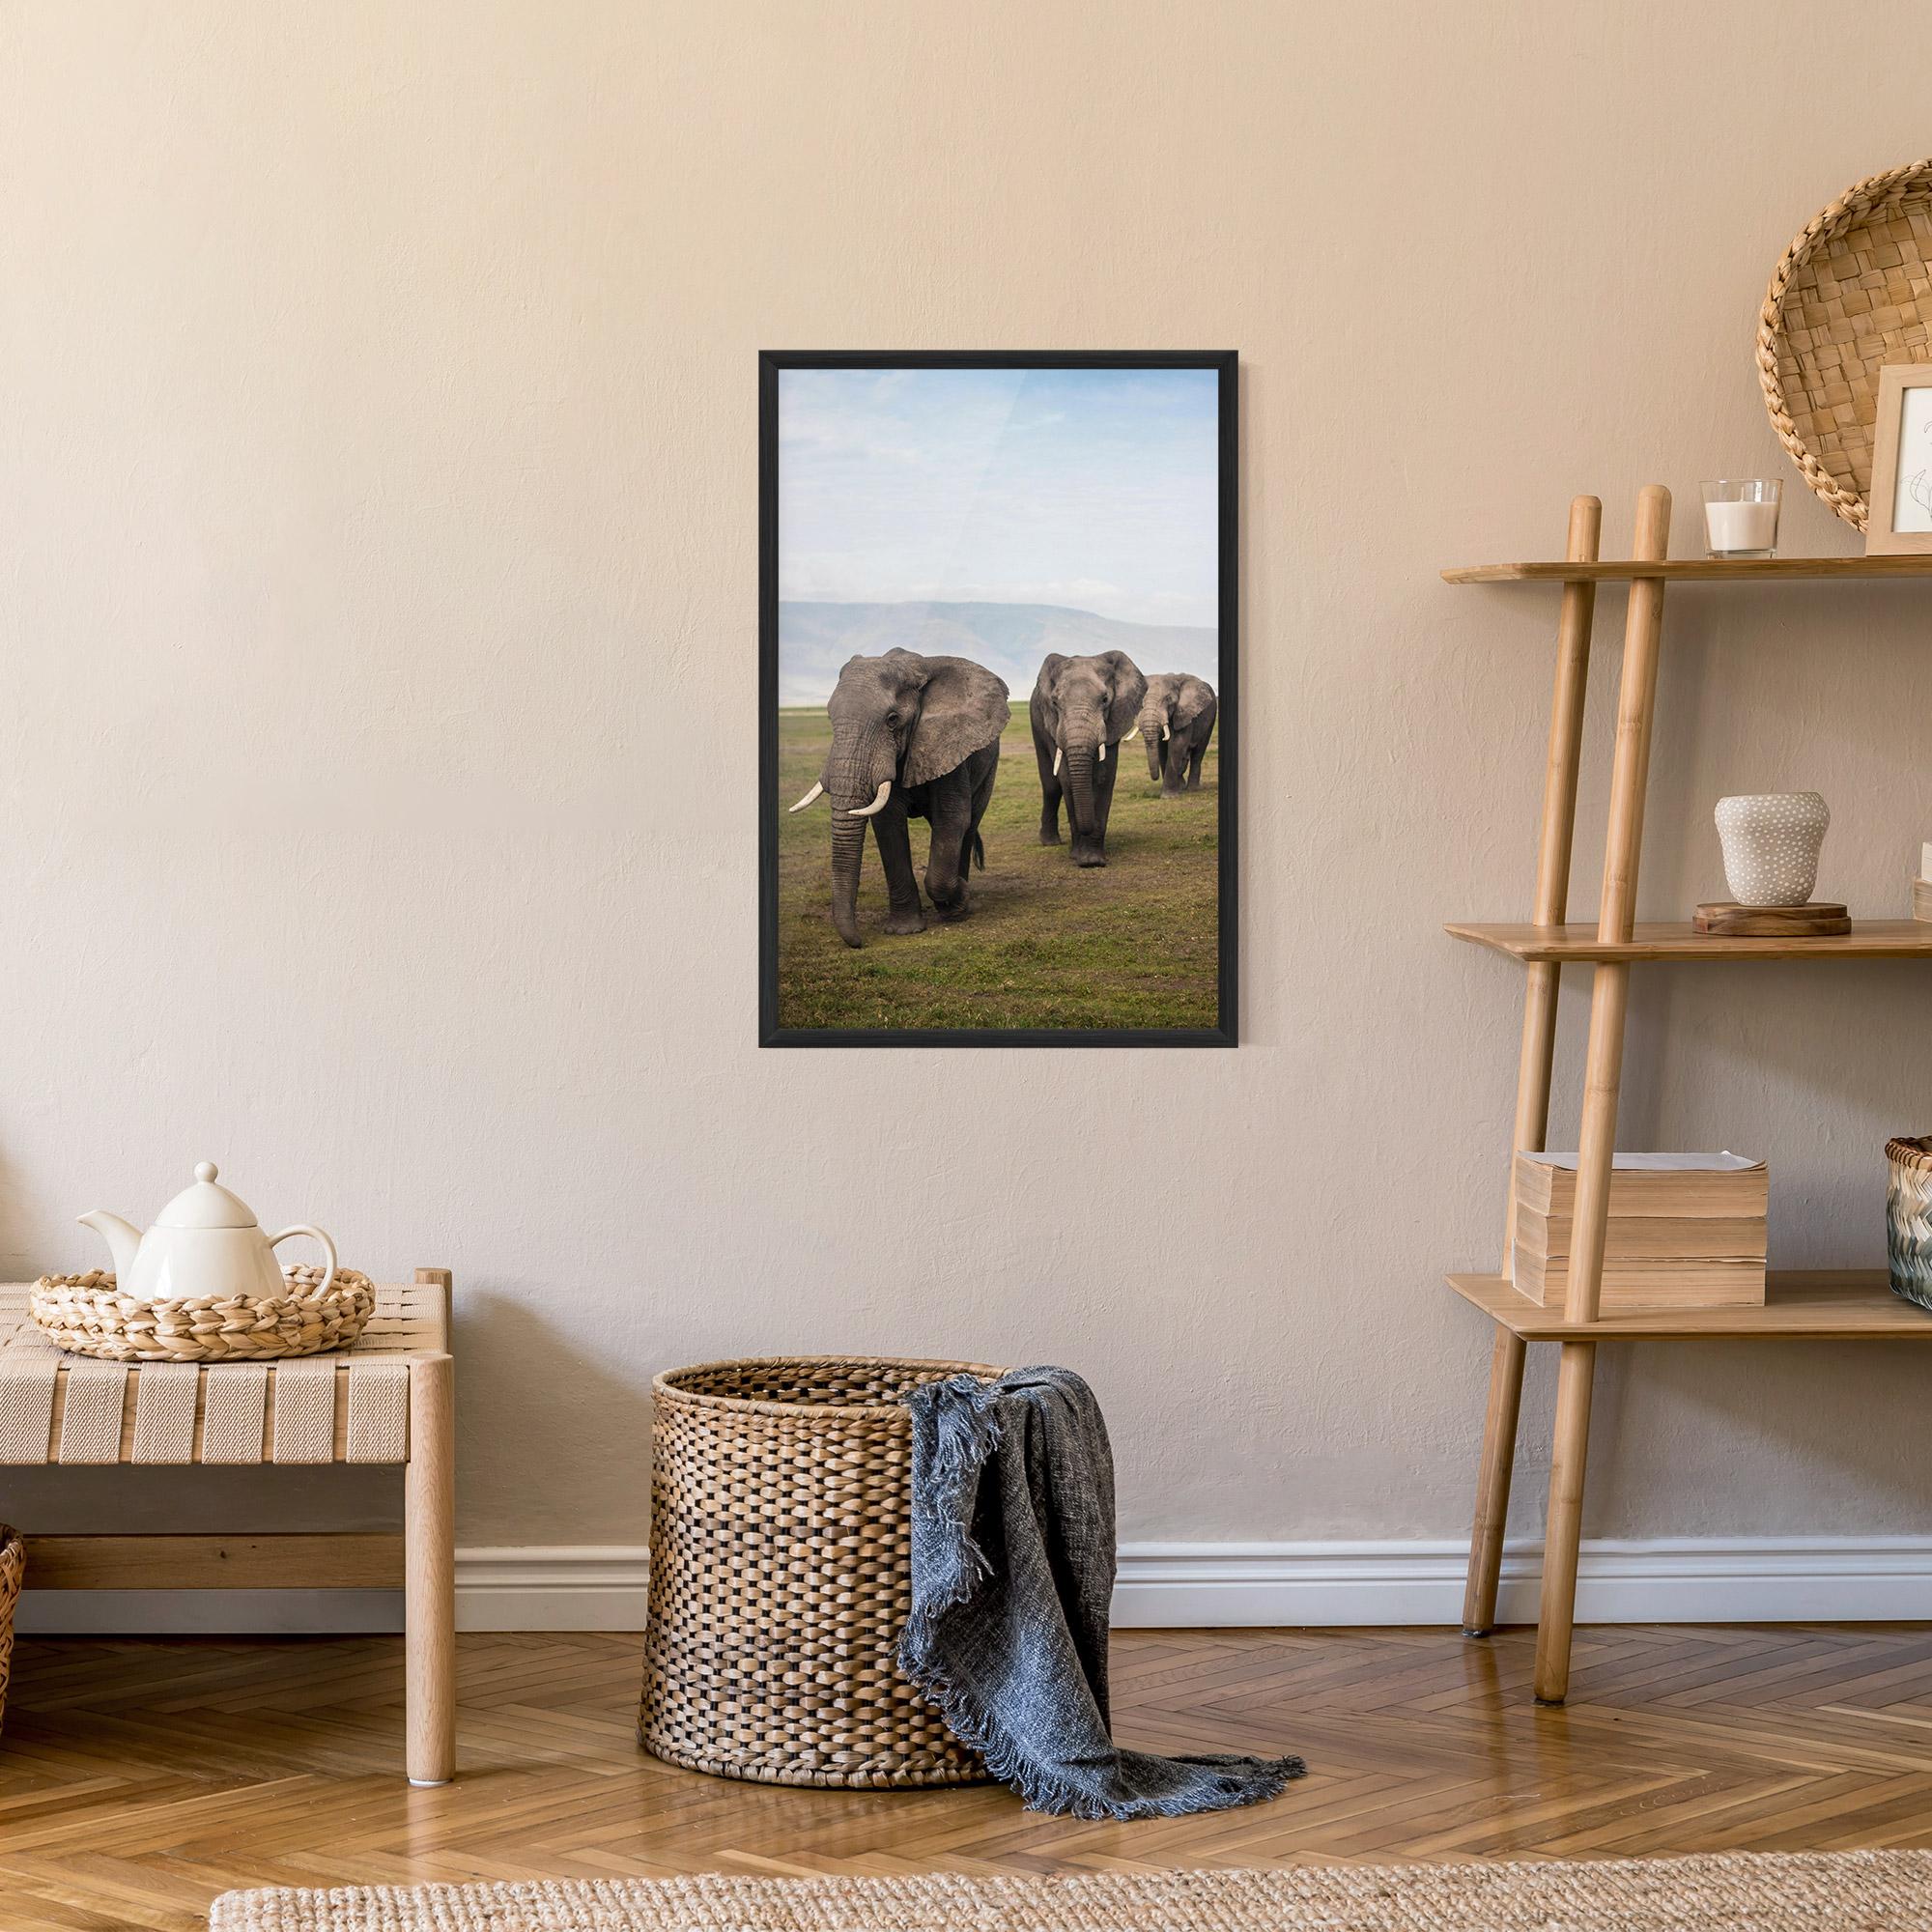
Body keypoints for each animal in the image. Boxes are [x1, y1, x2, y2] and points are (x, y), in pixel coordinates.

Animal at [788, 648, 1009, 948]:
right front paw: (904, 930)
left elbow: (952, 819)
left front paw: (960, 900)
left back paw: (959, 904)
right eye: (830, 718)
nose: (859, 942)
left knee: (969, 824)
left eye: (892, 719)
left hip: (989, 766)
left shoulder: (948, 744)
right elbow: (888, 824)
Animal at [1030, 650, 1147, 867]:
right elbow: (1066, 779)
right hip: (1036, 722)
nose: (1087, 827)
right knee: (1051, 786)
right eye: (1055, 702)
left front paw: (1093, 860)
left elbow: (1103, 778)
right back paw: (1050, 843)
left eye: (1105, 699)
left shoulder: (1113, 721)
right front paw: (1080, 858)